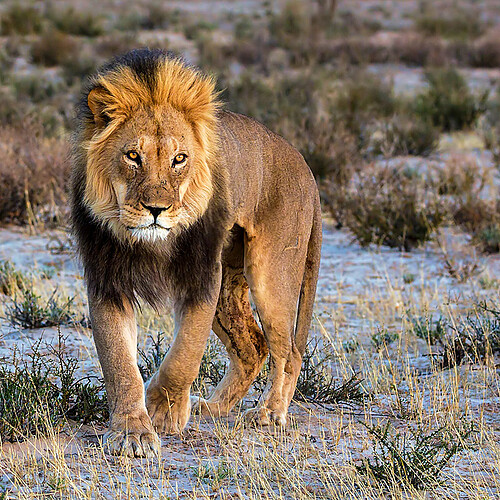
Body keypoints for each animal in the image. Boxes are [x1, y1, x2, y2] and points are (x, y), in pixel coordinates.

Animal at [70, 48, 320, 458]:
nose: (156, 209)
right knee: (253, 347)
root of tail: (307, 168)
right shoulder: (108, 282)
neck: (151, 244)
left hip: (271, 277)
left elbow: (184, 354)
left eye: (179, 159)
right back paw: (214, 407)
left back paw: (269, 413)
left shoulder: (202, 277)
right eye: (133, 156)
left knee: (289, 351)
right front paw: (132, 431)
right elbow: (119, 363)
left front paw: (164, 410)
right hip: (230, 285)